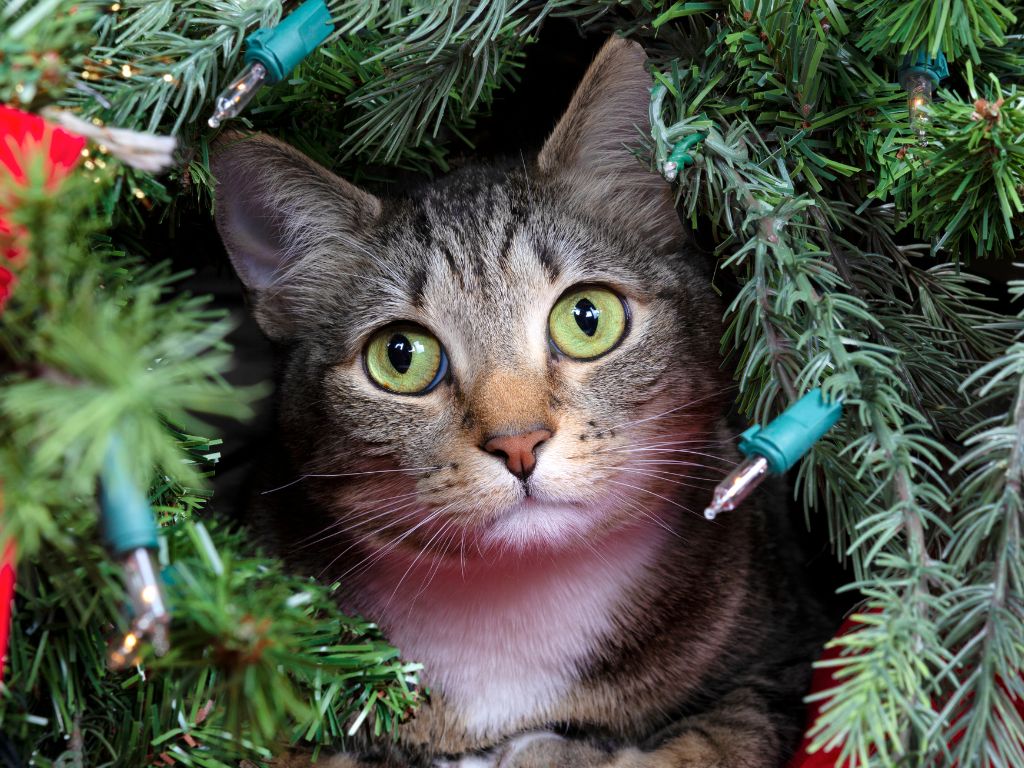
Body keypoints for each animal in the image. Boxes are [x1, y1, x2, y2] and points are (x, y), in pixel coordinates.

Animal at [211, 34, 827, 768]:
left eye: (587, 319)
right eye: (400, 357)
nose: (518, 440)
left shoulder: (785, 655)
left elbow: (719, 738)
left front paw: (555, 751)